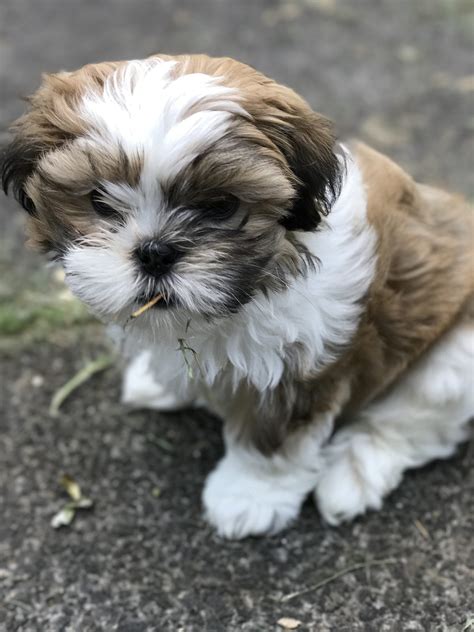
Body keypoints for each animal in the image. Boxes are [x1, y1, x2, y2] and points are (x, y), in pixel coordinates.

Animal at [1, 54, 472, 540]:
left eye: (222, 206)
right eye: (98, 200)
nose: (155, 252)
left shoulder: (297, 369)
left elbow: (272, 441)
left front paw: (248, 498)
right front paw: (162, 379)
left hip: (452, 361)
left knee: (412, 423)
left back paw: (352, 475)